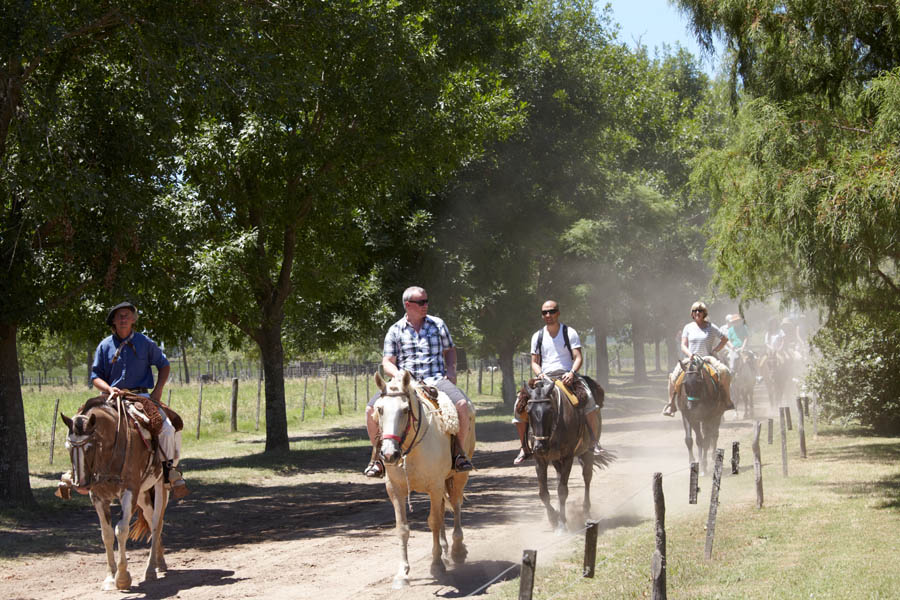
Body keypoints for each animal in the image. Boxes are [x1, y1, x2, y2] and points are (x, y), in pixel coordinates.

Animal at [62, 394, 171, 592]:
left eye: (90, 446)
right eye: (68, 447)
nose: (80, 484)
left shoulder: (129, 492)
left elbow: (121, 530)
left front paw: (122, 578)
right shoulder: (98, 497)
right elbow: (106, 535)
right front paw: (110, 577)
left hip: (160, 487)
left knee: (156, 524)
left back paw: (151, 569)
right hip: (143, 495)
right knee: (151, 518)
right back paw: (160, 563)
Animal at [370, 372, 474, 588]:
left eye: (405, 410)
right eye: (380, 410)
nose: (389, 454)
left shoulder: (435, 486)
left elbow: (433, 521)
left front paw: (436, 566)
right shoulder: (395, 489)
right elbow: (402, 528)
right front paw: (402, 574)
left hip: (458, 476)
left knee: (456, 505)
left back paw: (457, 550)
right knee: (443, 510)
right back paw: (445, 550)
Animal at [516, 376, 608, 536]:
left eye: (550, 410)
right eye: (528, 410)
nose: (539, 446)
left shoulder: (567, 457)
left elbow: (562, 491)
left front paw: (561, 524)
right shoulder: (540, 460)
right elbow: (543, 493)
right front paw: (553, 519)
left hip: (586, 452)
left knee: (587, 477)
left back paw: (586, 512)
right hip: (555, 459)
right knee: (560, 478)